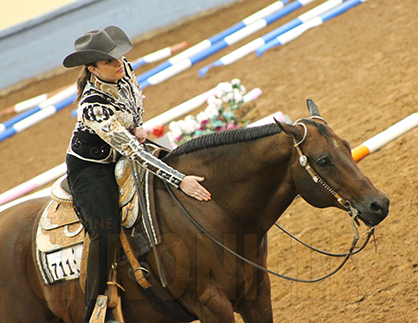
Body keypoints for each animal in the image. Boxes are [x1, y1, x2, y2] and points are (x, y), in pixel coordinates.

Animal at [0, 100, 388, 322]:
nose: (378, 204)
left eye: (347, 146)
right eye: (323, 160)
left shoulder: (256, 295)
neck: (214, 211)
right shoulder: (211, 305)